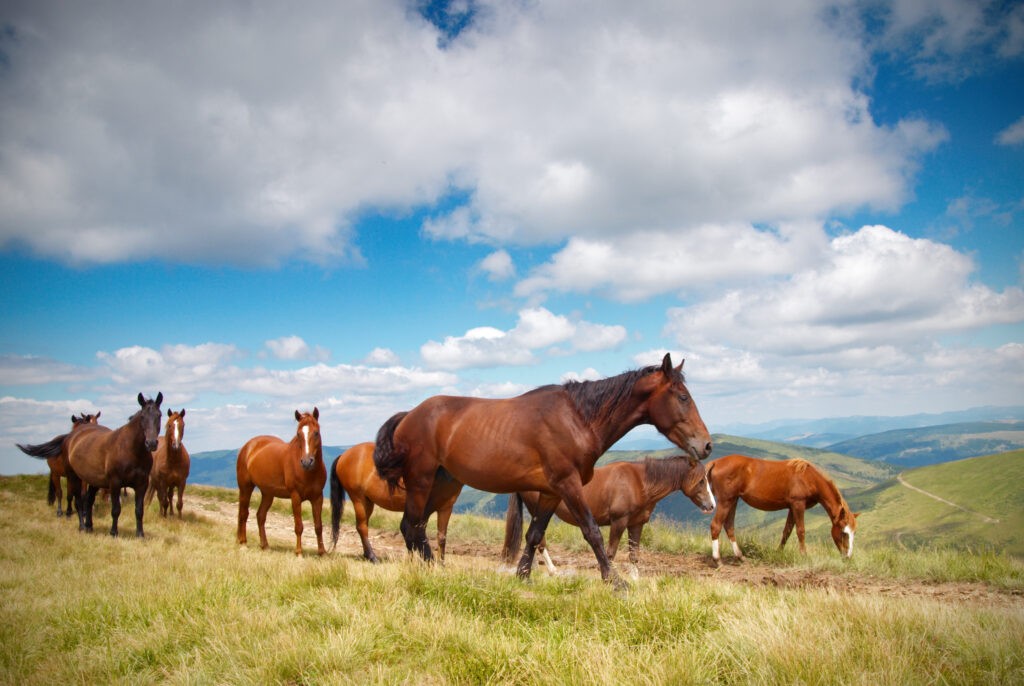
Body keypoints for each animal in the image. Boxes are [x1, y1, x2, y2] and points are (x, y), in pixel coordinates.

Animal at [236, 411, 325, 556]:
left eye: (316, 432)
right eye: (298, 434)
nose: (307, 462)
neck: (308, 473)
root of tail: (248, 446)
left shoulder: (318, 498)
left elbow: (318, 526)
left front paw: (322, 553)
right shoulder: (295, 497)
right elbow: (299, 526)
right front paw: (299, 553)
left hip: (268, 493)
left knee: (260, 516)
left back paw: (265, 546)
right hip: (245, 488)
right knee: (244, 514)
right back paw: (243, 544)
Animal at [327, 440, 464, 565]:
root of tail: (344, 455)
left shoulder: (446, 508)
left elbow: (441, 537)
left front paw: (441, 564)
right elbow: (414, 531)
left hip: (368, 501)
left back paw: (368, 555)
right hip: (358, 499)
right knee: (362, 527)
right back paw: (373, 557)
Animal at [501, 454, 712, 573]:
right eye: (701, 480)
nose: (711, 505)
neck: (639, 483)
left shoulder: (636, 524)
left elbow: (634, 555)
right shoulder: (618, 522)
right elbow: (610, 553)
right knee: (539, 540)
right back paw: (550, 570)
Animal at [708, 454, 860, 565]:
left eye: (854, 533)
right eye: (843, 533)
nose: (848, 557)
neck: (809, 477)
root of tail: (715, 462)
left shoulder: (792, 507)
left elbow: (787, 531)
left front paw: (778, 552)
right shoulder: (798, 505)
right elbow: (800, 531)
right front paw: (804, 556)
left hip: (733, 500)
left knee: (729, 526)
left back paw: (740, 557)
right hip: (726, 501)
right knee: (716, 525)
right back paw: (717, 560)